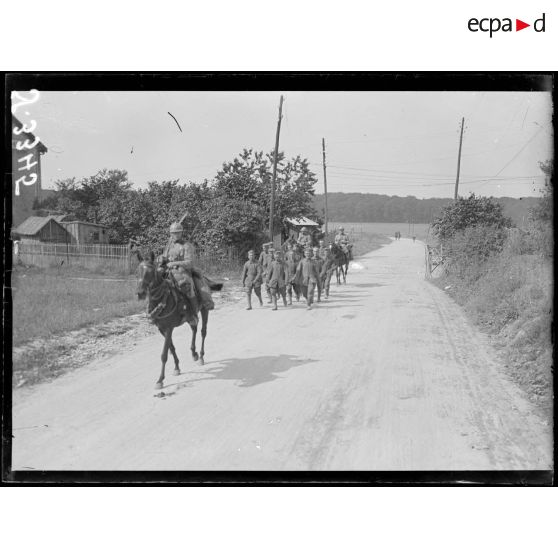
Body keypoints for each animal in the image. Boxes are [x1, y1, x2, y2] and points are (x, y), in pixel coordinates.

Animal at [137, 253, 215, 390]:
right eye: (138, 270)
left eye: (151, 272)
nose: (140, 293)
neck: (163, 300)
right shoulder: (161, 329)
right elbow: (172, 348)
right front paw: (177, 368)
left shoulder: (169, 328)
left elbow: (164, 354)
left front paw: (160, 380)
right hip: (190, 317)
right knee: (194, 328)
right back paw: (194, 353)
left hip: (205, 309)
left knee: (203, 332)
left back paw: (200, 356)